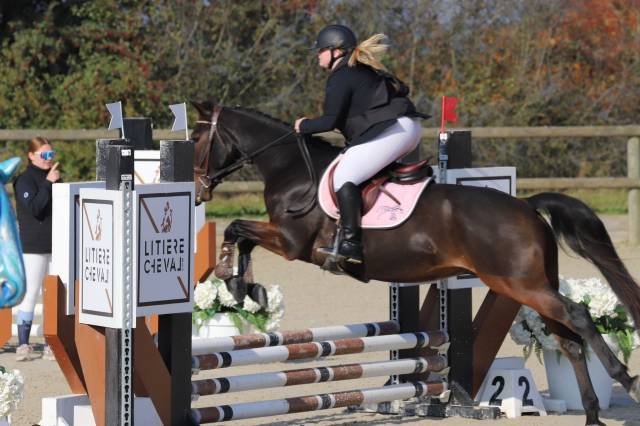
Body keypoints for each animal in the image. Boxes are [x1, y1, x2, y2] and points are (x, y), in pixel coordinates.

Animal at [190, 101, 640, 425]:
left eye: (196, 137)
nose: (197, 190)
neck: (290, 166)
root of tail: (527, 207)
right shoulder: (285, 240)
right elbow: (239, 234)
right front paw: (244, 287)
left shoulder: (290, 242)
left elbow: (236, 230)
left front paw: (237, 283)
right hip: (531, 286)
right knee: (569, 340)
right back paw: (593, 415)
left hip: (521, 284)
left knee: (578, 316)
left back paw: (624, 377)